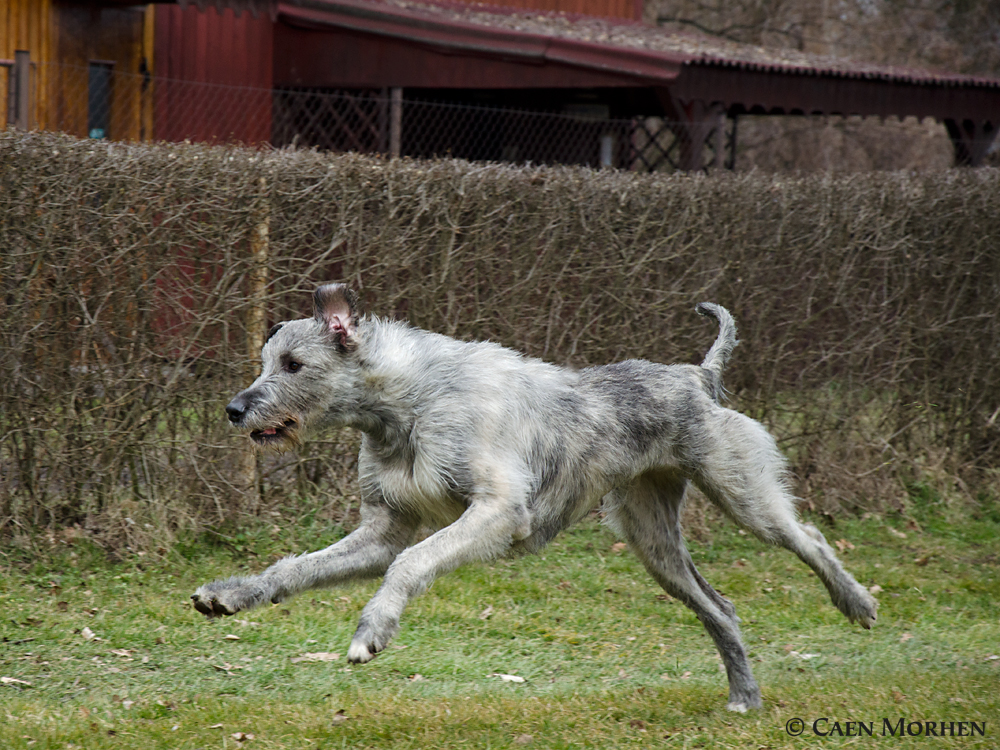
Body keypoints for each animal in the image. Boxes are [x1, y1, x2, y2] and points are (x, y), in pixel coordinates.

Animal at [193, 282, 876, 712]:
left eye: (292, 363)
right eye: (266, 360)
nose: (233, 409)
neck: (408, 403)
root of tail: (697, 375)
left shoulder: (498, 512)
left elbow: (409, 563)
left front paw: (373, 630)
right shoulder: (381, 530)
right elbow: (301, 567)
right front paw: (232, 593)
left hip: (744, 495)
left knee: (809, 537)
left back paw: (856, 601)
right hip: (650, 536)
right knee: (722, 607)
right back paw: (744, 697)